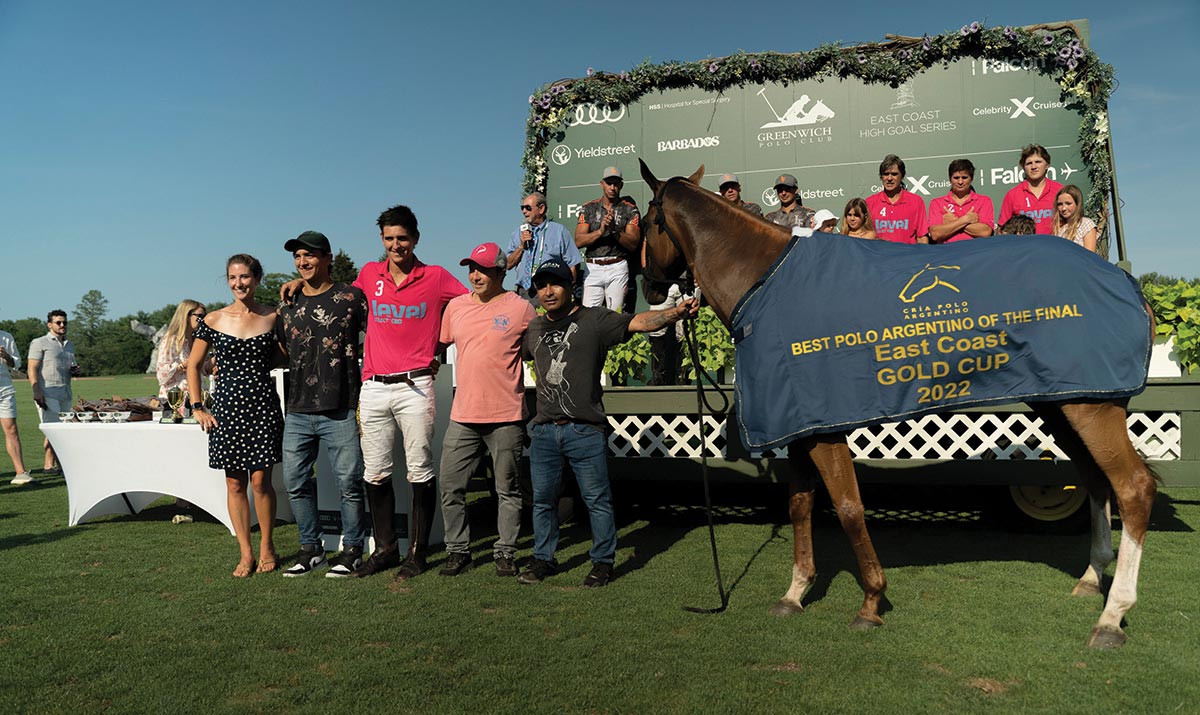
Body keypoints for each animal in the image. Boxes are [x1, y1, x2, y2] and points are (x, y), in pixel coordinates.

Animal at [643, 160, 1156, 647]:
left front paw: (871, 600)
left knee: (1132, 487)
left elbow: (848, 506)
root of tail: (1124, 280)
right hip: (1064, 401)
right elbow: (800, 505)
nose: (650, 289)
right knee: (1097, 480)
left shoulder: (823, 428)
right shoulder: (801, 423)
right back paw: (1091, 580)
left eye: (645, 223)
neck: (764, 282)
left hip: (1091, 406)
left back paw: (1113, 616)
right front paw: (795, 593)